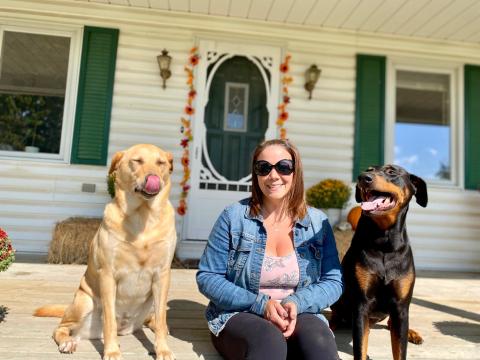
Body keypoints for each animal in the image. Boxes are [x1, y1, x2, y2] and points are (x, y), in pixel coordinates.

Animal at [34, 143, 176, 360]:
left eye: (160, 163)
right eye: (137, 161)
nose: (154, 179)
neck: (143, 216)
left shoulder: (162, 275)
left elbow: (161, 317)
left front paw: (163, 350)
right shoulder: (109, 275)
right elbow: (109, 319)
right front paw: (112, 351)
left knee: (153, 318)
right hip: (83, 303)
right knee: (61, 328)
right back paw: (68, 342)